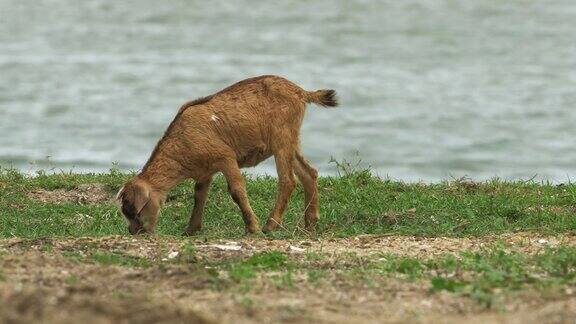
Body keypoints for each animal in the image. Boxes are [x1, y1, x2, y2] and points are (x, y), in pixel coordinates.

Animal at [118, 76, 338, 235]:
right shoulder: (205, 172)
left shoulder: (225, 157)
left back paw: (270, 225)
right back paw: (309, 224)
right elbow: (199, 195)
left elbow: (236, 190)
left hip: (282, 139)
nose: (134, 232)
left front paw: (252, 227)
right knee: (309, 172)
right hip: (290, 141)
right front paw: (191, 230)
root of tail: (300, 92)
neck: (183, 140)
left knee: (288, 180)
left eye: (133, 210)